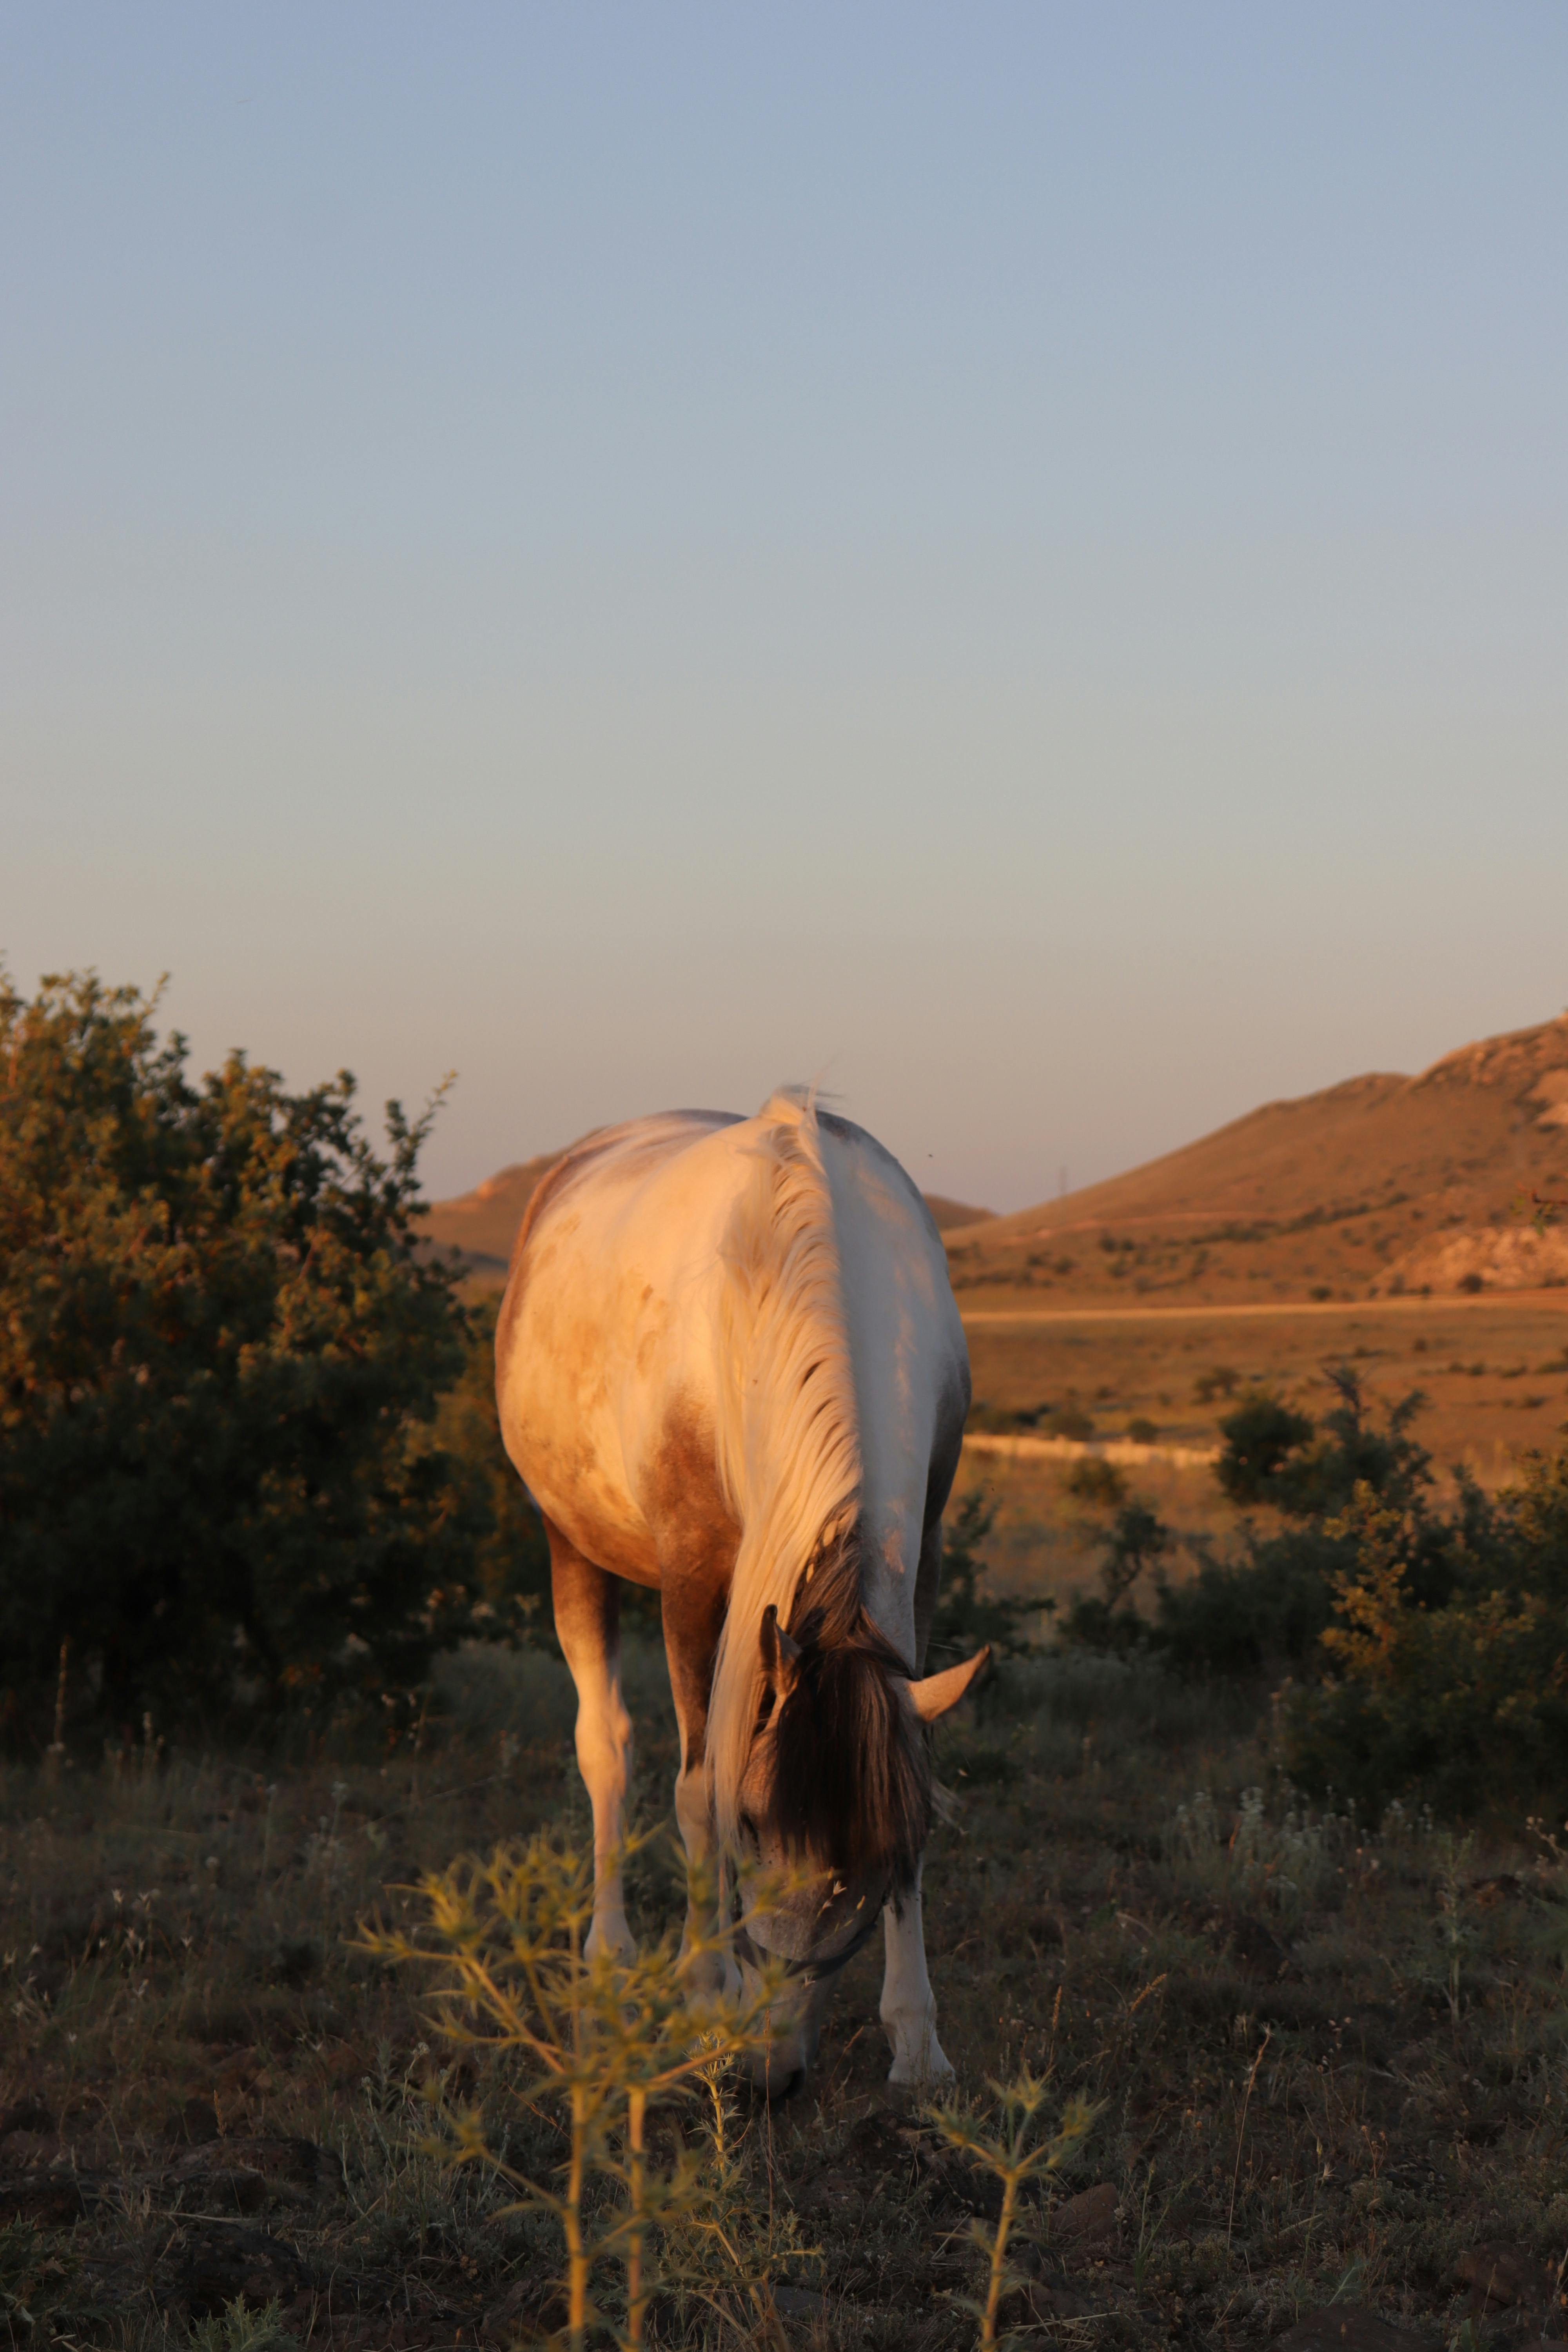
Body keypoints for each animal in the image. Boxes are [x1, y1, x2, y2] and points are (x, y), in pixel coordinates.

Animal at [494, 1089, 988, 2092]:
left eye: (873, 1854)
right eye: (755, 1827)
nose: (771, 2073)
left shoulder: (921, 1550)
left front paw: (917, 2042)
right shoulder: (694, 1577)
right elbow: (697, 1786)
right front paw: (701, 1994)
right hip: (572, 1543)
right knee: (605, 1747)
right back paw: (610, 1953)